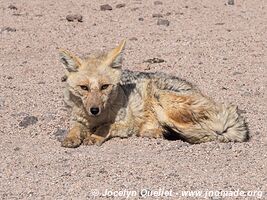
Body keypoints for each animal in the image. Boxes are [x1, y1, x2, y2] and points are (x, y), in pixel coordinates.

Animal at [58, 39, 249, 148]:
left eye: (105, 86)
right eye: (84, 88)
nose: (94, 110)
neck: (95, 119)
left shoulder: (127, 124)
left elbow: (105, 126)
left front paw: (95, 136)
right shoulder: (78, 120)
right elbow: (75, 128)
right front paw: (71, 137)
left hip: (161, 98)